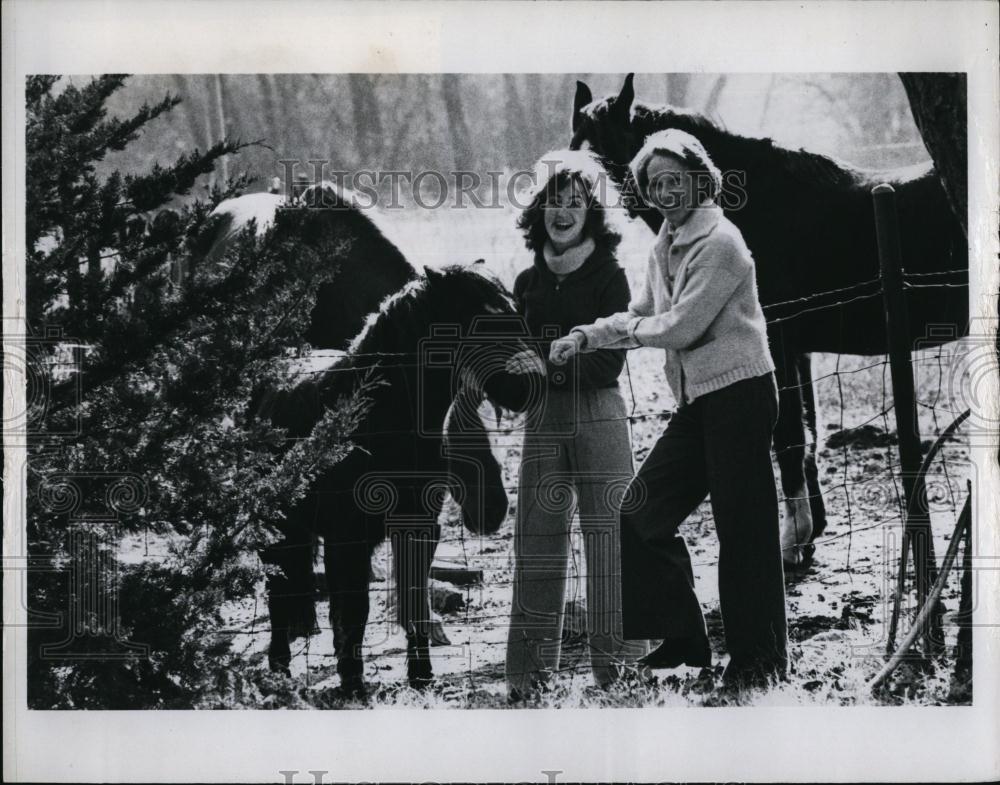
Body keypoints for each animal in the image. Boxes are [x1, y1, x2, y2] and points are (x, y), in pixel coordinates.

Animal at [262, 266, 536, 696]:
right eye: (481, 318)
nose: (528, 385)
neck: (376, 421)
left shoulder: (418, 528)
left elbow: (414, 602)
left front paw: (421, 674)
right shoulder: (349, 539)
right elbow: (353, 611)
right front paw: (352, 682)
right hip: (278, 533)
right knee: (279, 596)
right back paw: (279, 671)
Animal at [572, 75, 968, 564]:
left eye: (605, 150)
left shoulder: (778, 342)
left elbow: (789, 435)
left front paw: (792, 541)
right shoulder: (799, 350)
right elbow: (806, 435)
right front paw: (811, 531)